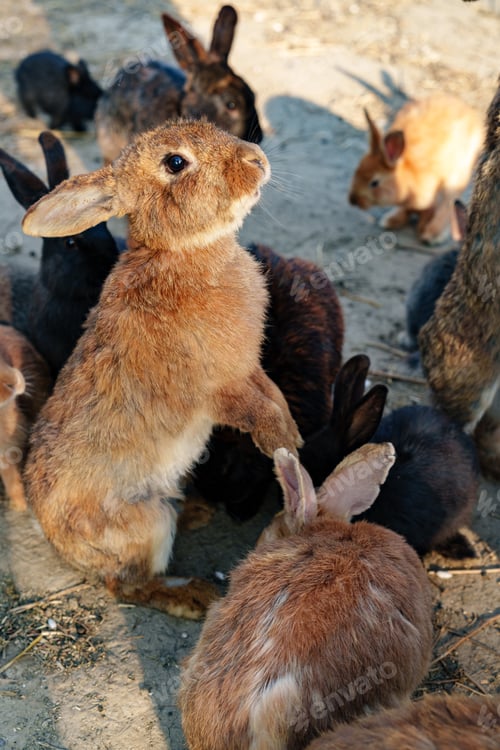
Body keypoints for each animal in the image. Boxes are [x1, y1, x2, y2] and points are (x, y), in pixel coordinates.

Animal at [21, 120, 302, 620]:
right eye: (175, 162)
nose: (257, 160)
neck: (183, 251)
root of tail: (53, 537)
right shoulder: (220, 389)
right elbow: (256, 413)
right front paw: (282, 446)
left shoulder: (249, 370)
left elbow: (273, 396)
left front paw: (294, 434)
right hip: (143, 525)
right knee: (127, 585)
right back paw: (194, 596)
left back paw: (193, 511)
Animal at [348, 93, 484, 244]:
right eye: (356, 171)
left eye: (374, 183)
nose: (353, 201)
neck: (406, 174)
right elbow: (407, 208)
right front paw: (392, 220)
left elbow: (428, 209)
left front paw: (422, 228)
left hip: (456, 175)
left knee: (449, 203)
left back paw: (432, 233)